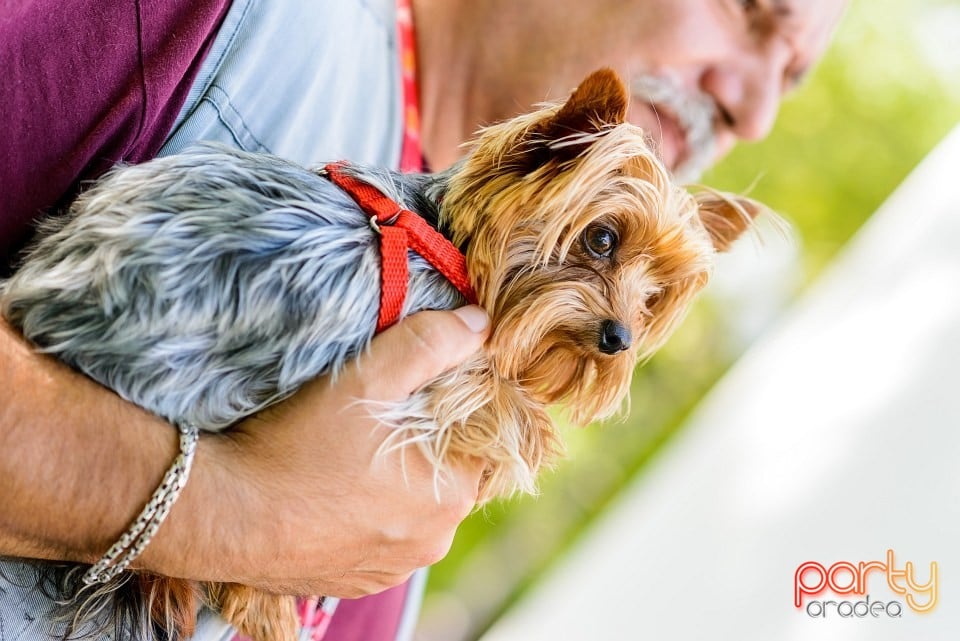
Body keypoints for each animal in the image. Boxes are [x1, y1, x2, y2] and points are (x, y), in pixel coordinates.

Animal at [1, 70, 764, 640]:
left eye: (654, 296)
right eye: (601, 239)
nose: (618, 339)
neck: (448, 240)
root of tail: (38, 299)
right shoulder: (442, 381)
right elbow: (509, 413)